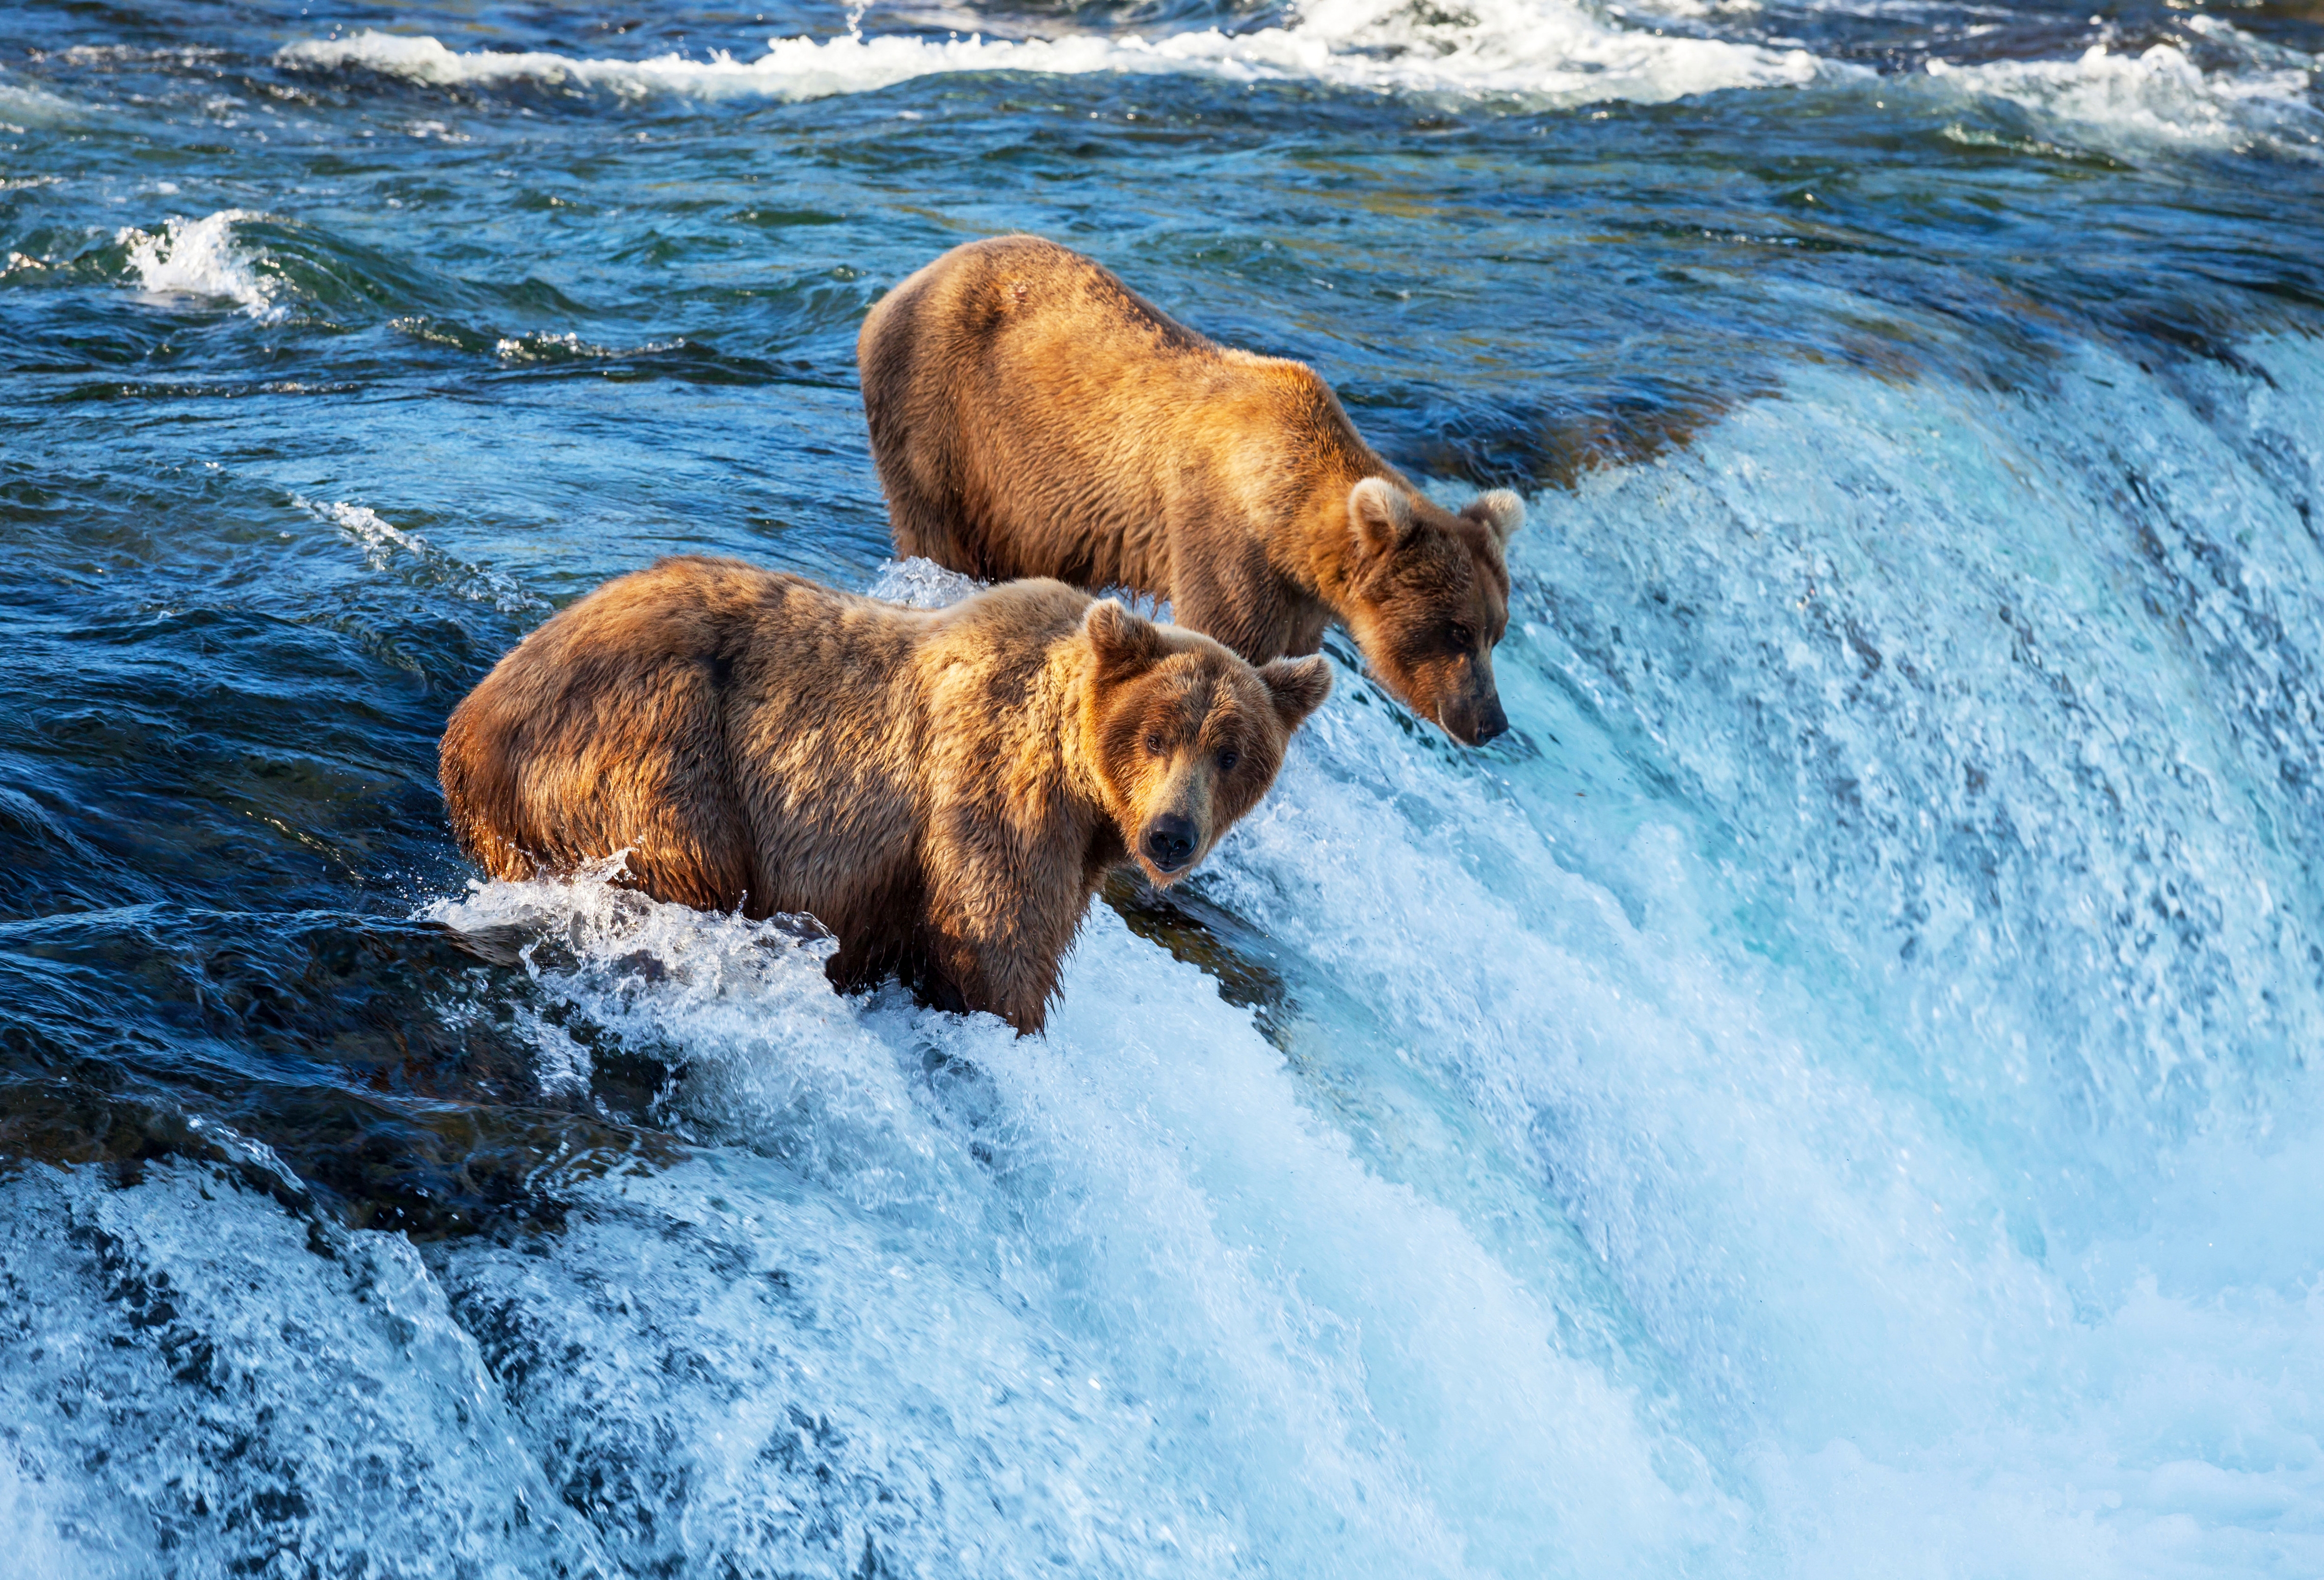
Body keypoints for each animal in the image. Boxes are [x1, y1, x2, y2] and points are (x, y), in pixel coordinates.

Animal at [437, 558, 1329, 1036]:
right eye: (1155, 736)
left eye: (1231, 752)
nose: (1173, 834)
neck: (1084, 787)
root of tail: (469, 723)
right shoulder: (994, 793)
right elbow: (996, 941)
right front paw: (1011, 1022)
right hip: (653, 747)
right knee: (685, 860)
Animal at [855, 233, 1524, 748]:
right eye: (1457, 630)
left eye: (1496, 631)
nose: (1491, 721)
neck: (1287, 516)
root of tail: (896, 291)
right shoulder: (1225, 539)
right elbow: (1228, 640)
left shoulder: (1300, 597)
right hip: (945, 420)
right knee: (938, 531)